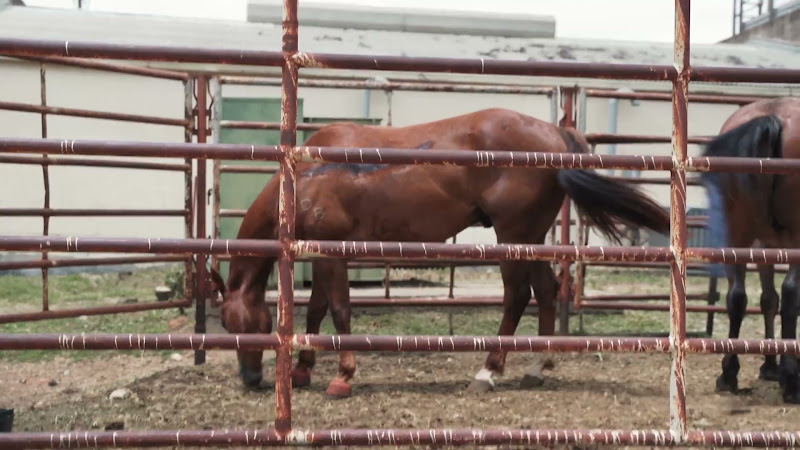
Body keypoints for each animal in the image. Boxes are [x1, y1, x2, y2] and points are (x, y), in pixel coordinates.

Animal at [209, 107, 670, 398]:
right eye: (228, 326)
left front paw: (342, 377)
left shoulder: (333, 252)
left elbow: (338, 312)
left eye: (242, 324)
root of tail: (554, 132)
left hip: (512, 234)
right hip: (531, 235)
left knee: (517, 296)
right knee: (544, 290)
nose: (251, 378)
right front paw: (304, 369)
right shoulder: (322, 252)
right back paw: (536, 367)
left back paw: (488, 371)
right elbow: (317, 310)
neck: (308, 173)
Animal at [701, 96, 800, 404]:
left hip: (737, 233)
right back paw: (790, 380)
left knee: (736, 297)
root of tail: (773, 117)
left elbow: (768, 299)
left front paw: (769, 363)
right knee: (791, 294)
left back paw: (729, 374)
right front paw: (774, 365)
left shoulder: (763, 245)